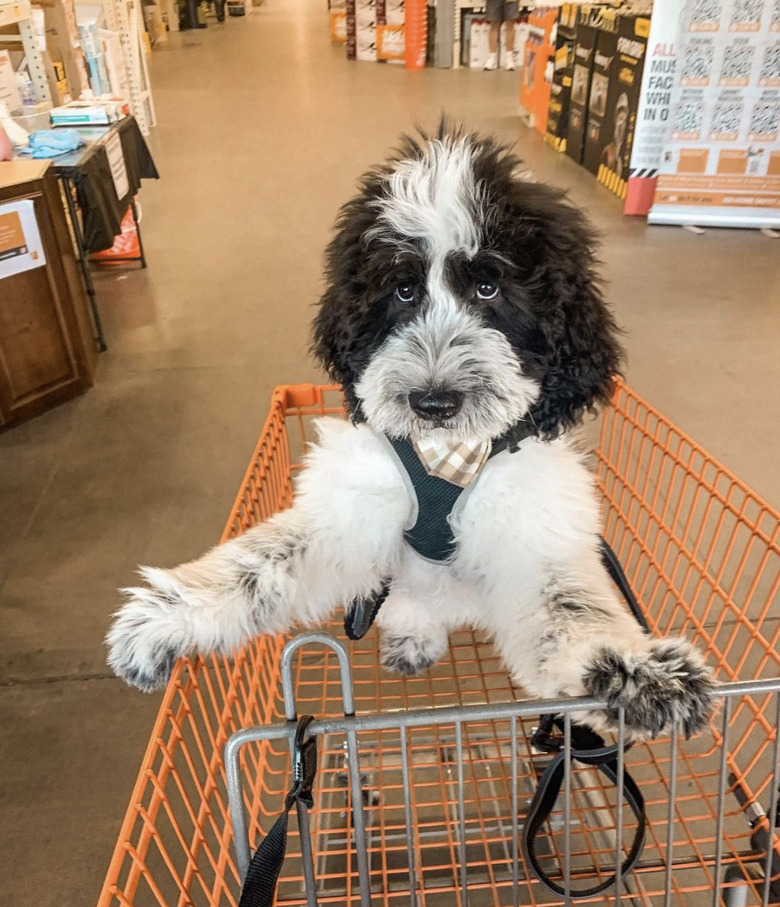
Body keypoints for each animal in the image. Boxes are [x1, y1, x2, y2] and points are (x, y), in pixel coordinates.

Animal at [106, 126, 716, 736]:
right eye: (402, 292)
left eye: (489, 289)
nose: (433, 402)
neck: (445, 456)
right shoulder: (350, 511)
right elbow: (261, 564)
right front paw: (164, 618)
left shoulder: (533, 533)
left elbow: (570, 611)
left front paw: (633, 672)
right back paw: (411, 637)